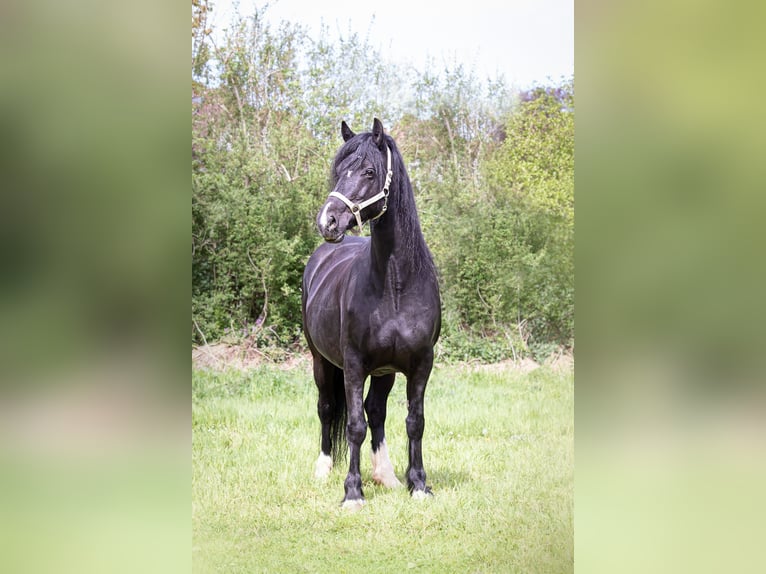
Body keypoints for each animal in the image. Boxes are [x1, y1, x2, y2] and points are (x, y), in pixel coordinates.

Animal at [301, 118, 441, 510]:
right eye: (338, 171)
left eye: (368, 172)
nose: (328, 221)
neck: (395, 286)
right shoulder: (353, 365)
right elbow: (354, 425)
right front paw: (352, 492)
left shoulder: (420, 364)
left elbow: (414, 421)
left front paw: (418, 485)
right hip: (321, 360)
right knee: (327, 408)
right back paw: (324, 468)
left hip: (385, 371)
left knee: (376, 410)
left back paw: (387, 475)